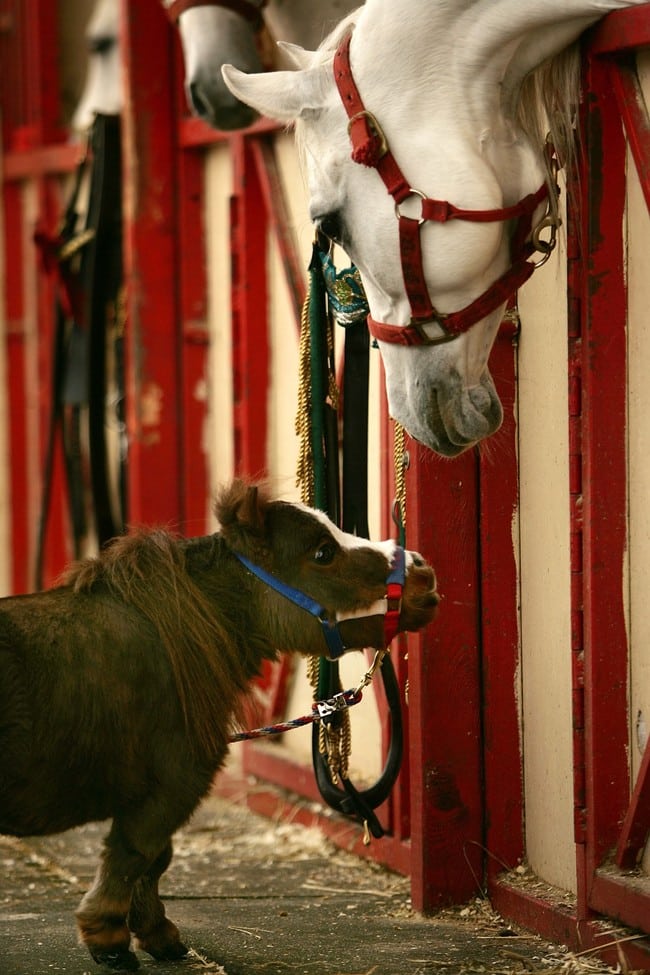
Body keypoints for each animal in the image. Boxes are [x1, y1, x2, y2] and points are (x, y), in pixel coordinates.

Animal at [0, 478, 438, 968]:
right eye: (323, 552)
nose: (422, 571)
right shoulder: (172, 782)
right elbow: (135, 855)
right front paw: (110, 941)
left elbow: (154, 859)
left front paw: (156, 934)